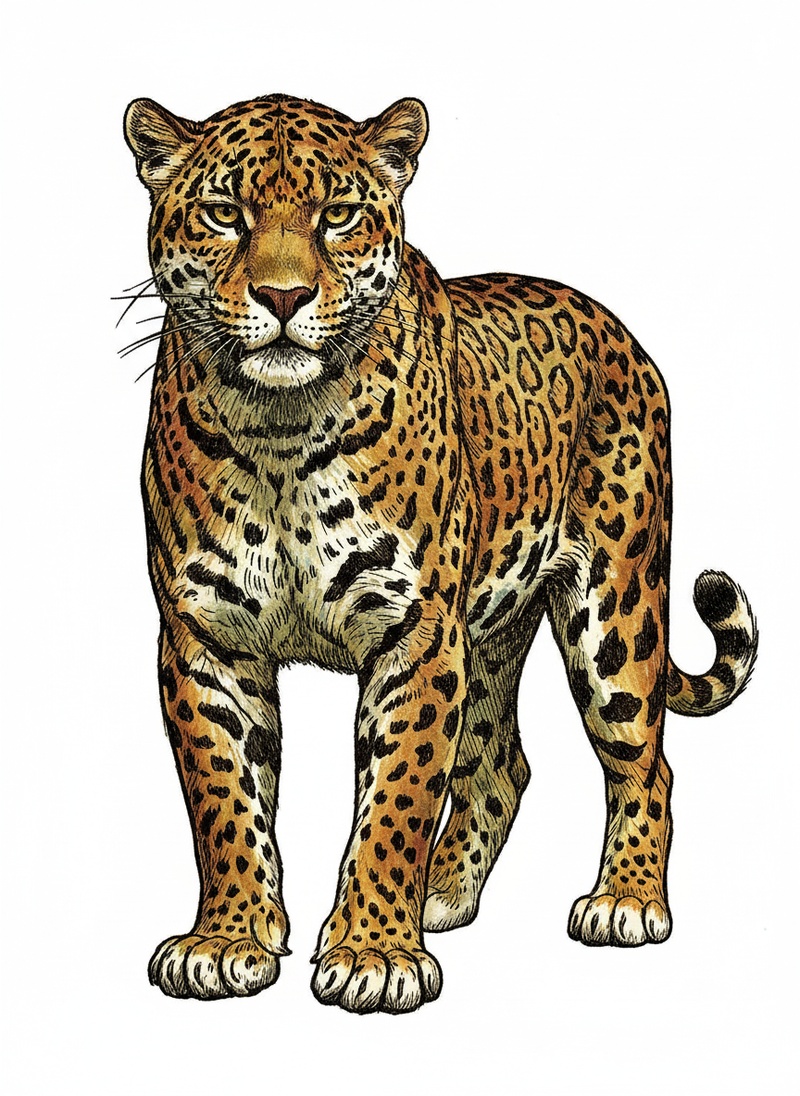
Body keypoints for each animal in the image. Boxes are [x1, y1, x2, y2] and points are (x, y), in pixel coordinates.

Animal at [123, 92, 757, 1014]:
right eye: (223, 213)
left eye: (337, 215)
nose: (283, 295)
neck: (279, 431)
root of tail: (615, 328)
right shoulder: (206, 636)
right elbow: (224, 799)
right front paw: (228, 939)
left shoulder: (415, 630)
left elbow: (397, 793)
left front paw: (374, 954)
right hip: (488, 633)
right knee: (501, 766)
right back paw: (442, 893)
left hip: (614, 612)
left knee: (646, 763)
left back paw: (625, 902)